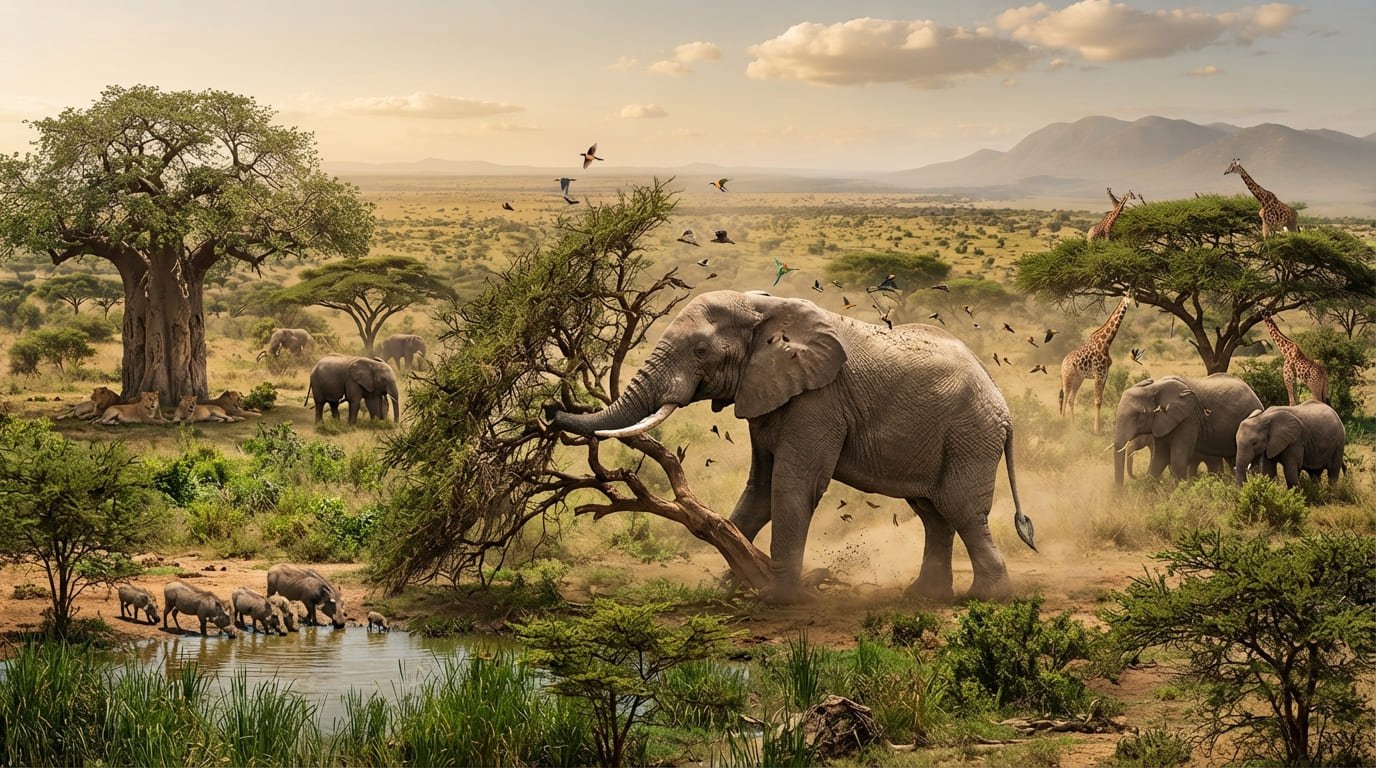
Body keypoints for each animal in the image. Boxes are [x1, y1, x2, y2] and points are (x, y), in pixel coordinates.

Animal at [548, 290, 1036, 603]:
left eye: (701, 351)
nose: (550, 410)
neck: (764, 308)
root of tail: (1003, 404)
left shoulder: (819, 399)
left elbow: (792, 484)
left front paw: (778, 598)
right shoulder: (766, 391)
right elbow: (759, 490)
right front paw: (728, 588)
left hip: (970, 434)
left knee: (959, 508)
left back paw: (986, 598)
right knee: (932, 512)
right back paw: (924, 597)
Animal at [1112, 374, 1262, 487]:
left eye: (1137, 415)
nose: (1119, 496)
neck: (1154, 387)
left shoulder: (1188, 418)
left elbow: (1177, 460)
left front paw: (1179, 494)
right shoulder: (1161, 422)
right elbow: (1160, 458)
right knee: (1232, 460)